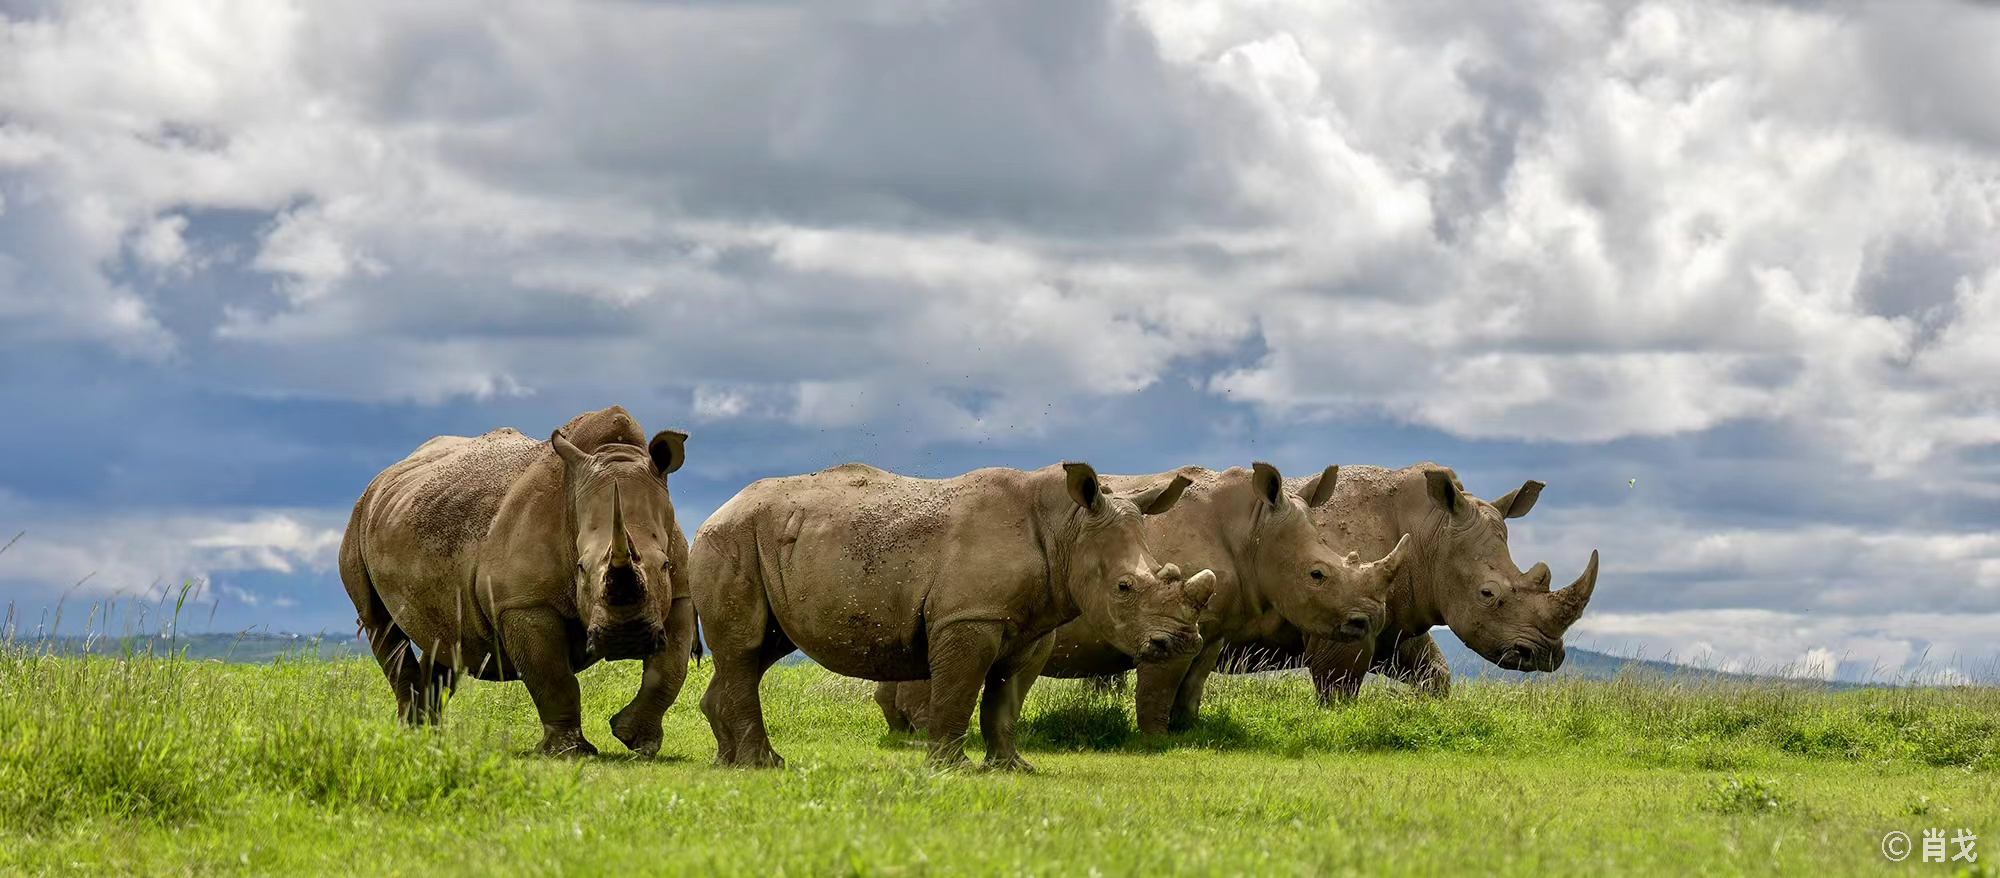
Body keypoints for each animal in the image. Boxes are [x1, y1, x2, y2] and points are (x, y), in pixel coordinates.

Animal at [338, 406, 696, 756]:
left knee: (443, 638)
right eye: (581, 568)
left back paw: (429, 737)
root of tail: (383, 476)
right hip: (358, 518)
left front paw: (638, 742)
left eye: (664, 565)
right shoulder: (523, 603)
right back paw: (412, 738)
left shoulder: (679, 592)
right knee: (380, 624)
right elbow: (554, 678)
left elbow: (670, 669)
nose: (627, 638)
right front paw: (570, 753)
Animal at [696, 460, 1208, 768]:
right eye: (1124, 588)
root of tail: (718, 509)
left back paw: (728, 762)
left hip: (763, 539)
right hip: (732, 537)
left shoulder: (1031, 628)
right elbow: (959, 690)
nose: (1182, 643)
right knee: (745, 647)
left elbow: (1006, 700)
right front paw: (950, 768)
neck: (1066, 527)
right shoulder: (969, 617)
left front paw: (1012, 768)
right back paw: (764, 765)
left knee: (762, 648)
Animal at [872, 464, 1408, 740]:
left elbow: (1192, 686)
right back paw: (920, 734)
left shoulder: (1208, 628)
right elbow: (1159, 686)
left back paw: (902, 733)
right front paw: (1153, 740)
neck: (1253, 528)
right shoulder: (1165, 624)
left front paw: (1186, 734)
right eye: (1318, 575)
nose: (1368, 622)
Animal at [1208, 468, 1600, 700]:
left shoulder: (1395, 613)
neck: (1431, 531)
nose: (1546, 655)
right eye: (1488, 594)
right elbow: (1339, 687)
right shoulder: (1339, 618)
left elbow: (1435, 672)